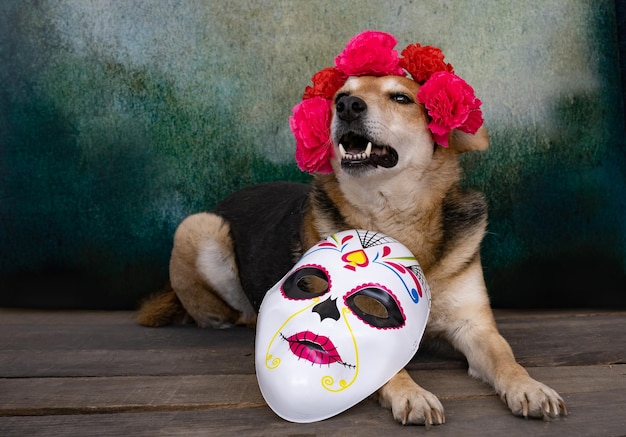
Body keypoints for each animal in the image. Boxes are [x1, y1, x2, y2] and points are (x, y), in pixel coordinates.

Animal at [136, 35, 564, 424]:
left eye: (401, 99)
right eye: (341, 95)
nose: (347, 106)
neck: (391, 215)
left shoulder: (474, 326)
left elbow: (505, 358)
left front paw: (529, 387)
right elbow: (384, 368)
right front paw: (411, 394)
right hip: (198, 227)